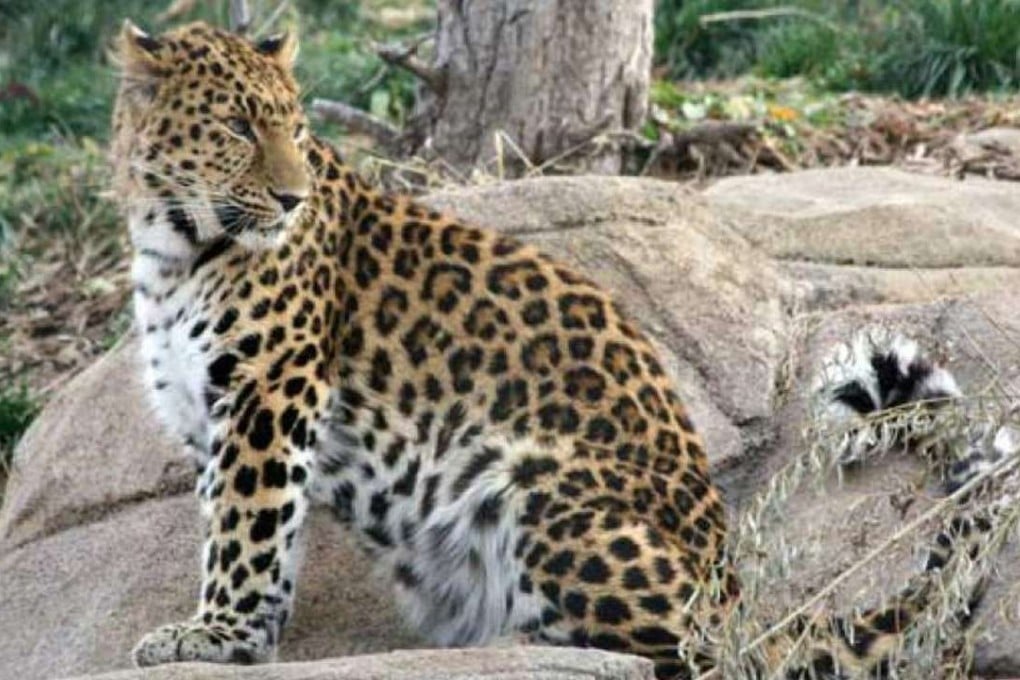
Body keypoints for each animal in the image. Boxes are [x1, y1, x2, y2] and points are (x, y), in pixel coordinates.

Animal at [110, 20, 1017, 678]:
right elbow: (241, 520)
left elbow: (248, 523)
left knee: (702, 655)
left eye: (295, 130)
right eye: (236, 125)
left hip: (528, 482)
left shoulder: (270, 387)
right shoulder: (212, 410)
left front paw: (215, 635)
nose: (291, 198)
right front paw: (245, 636)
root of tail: (733, 589)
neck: (172, 244)